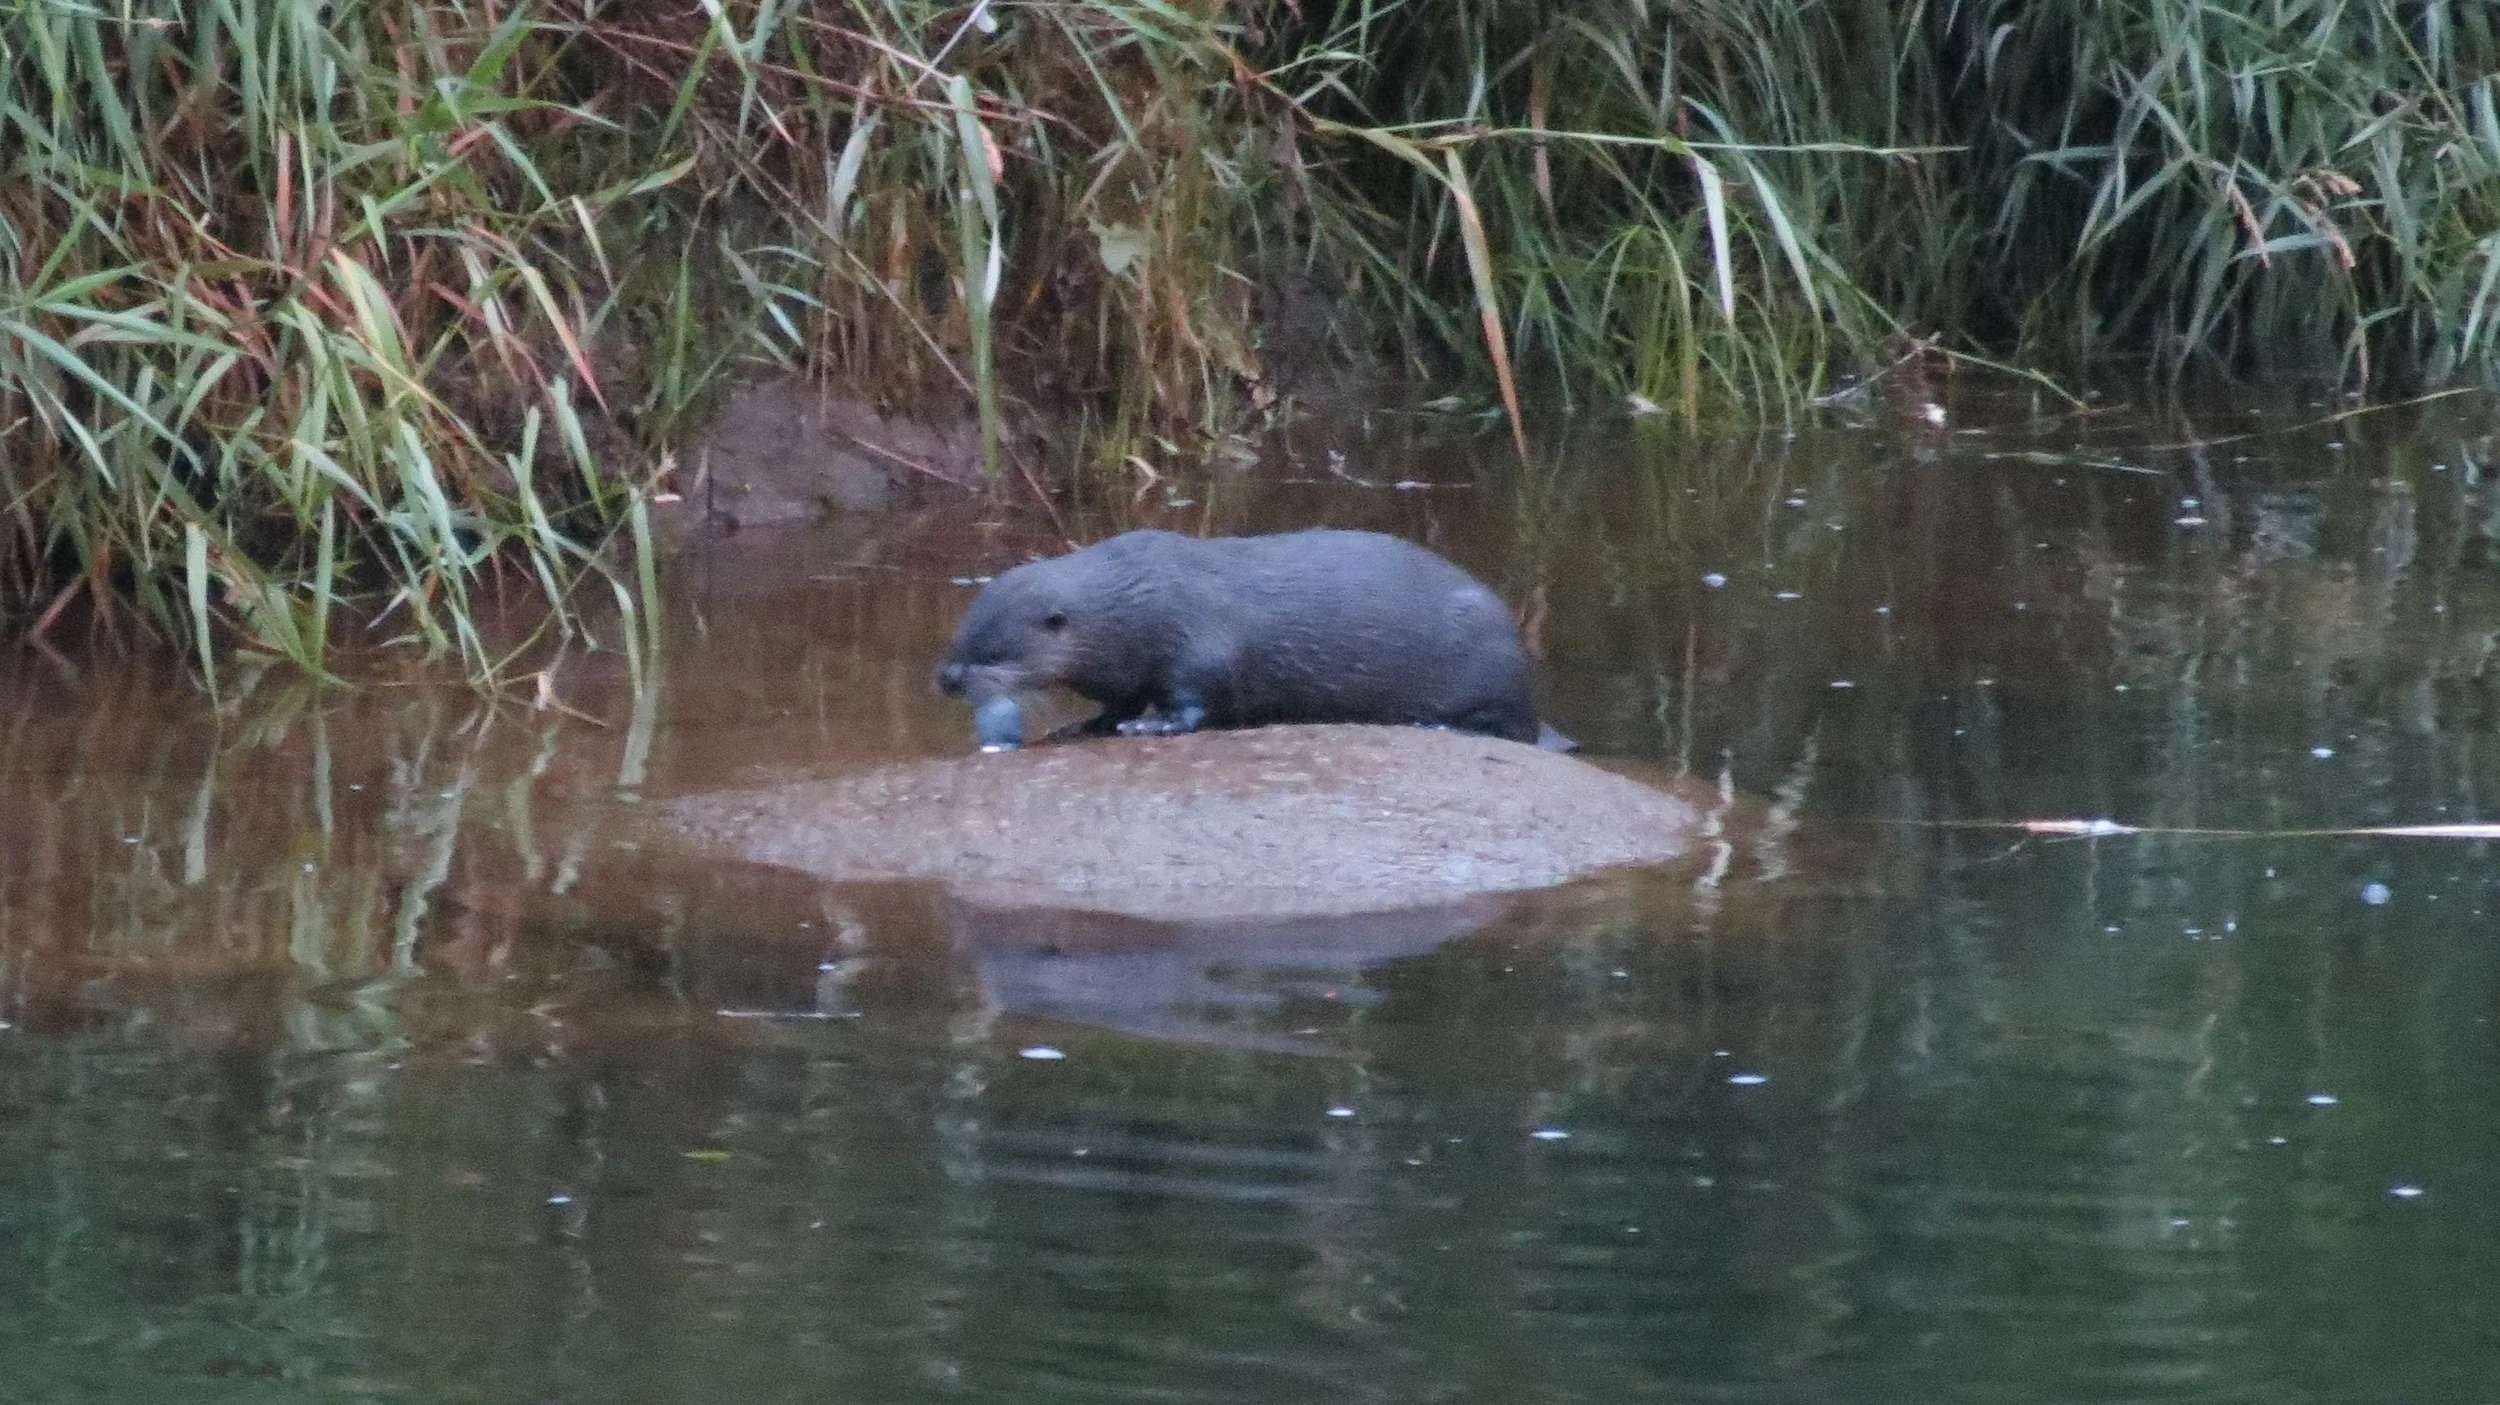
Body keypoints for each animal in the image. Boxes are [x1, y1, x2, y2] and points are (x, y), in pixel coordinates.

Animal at [936, 528, 1567, 750]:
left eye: (991, 653)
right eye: (957, 640)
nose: (945, 678)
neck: (1136, 606)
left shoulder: (1200, 643)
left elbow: (1198, 698)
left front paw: (1153, 727)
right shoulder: (1126, 673)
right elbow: (1121, 701)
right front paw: (1084, 724)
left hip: (1492, 668)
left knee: (1512, 727)